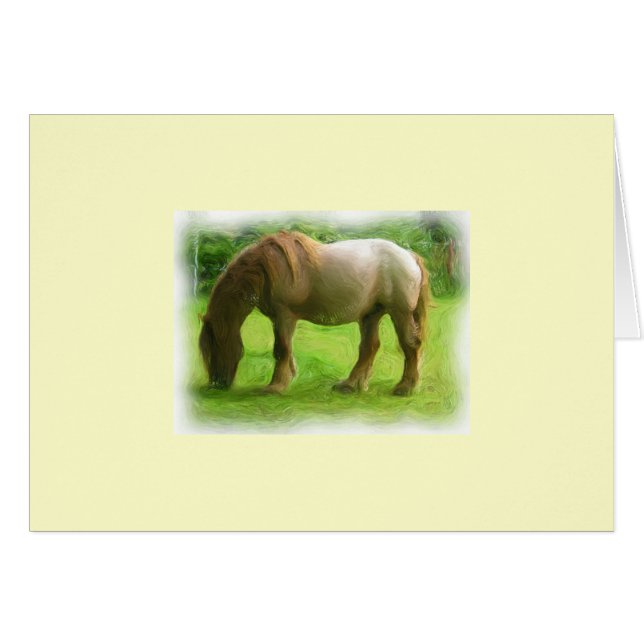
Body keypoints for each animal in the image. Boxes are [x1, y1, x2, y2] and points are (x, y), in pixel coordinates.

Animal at [198, 231, 430, 395]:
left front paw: (274, 387)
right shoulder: (278, 319)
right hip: (370, 316)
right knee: (369, 348)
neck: (266, 267)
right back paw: (350, 386)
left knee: (410, 345)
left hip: (400, 313)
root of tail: (409, 256)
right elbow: (286, 349)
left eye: (214, 345)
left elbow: (281, 349)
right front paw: (288, 377)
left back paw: (405, 388)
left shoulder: (284, 316)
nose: (217, 383)